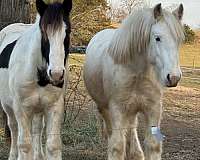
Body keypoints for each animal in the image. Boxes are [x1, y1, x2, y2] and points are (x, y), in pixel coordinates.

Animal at [0, 0, 72, 160]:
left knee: (37, 129)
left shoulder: (54, 106)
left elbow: (53, 145)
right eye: (43, 32)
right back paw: (13, 155)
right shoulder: (21, 108)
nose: (56, 74)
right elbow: (25, 145)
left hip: (38, 108)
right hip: (8, 106)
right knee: (13, 128)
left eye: (68, 31)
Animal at [83, 3, 185, 160]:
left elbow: (153, 145)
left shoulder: (153, 108)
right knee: (112, 132)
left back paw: (135, 153)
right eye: (157, 38)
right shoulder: (117, 109)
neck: (137, 73)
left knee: (131, 127)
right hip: (105, 107)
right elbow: (117, 146)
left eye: (179, 40)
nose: (173, 77)